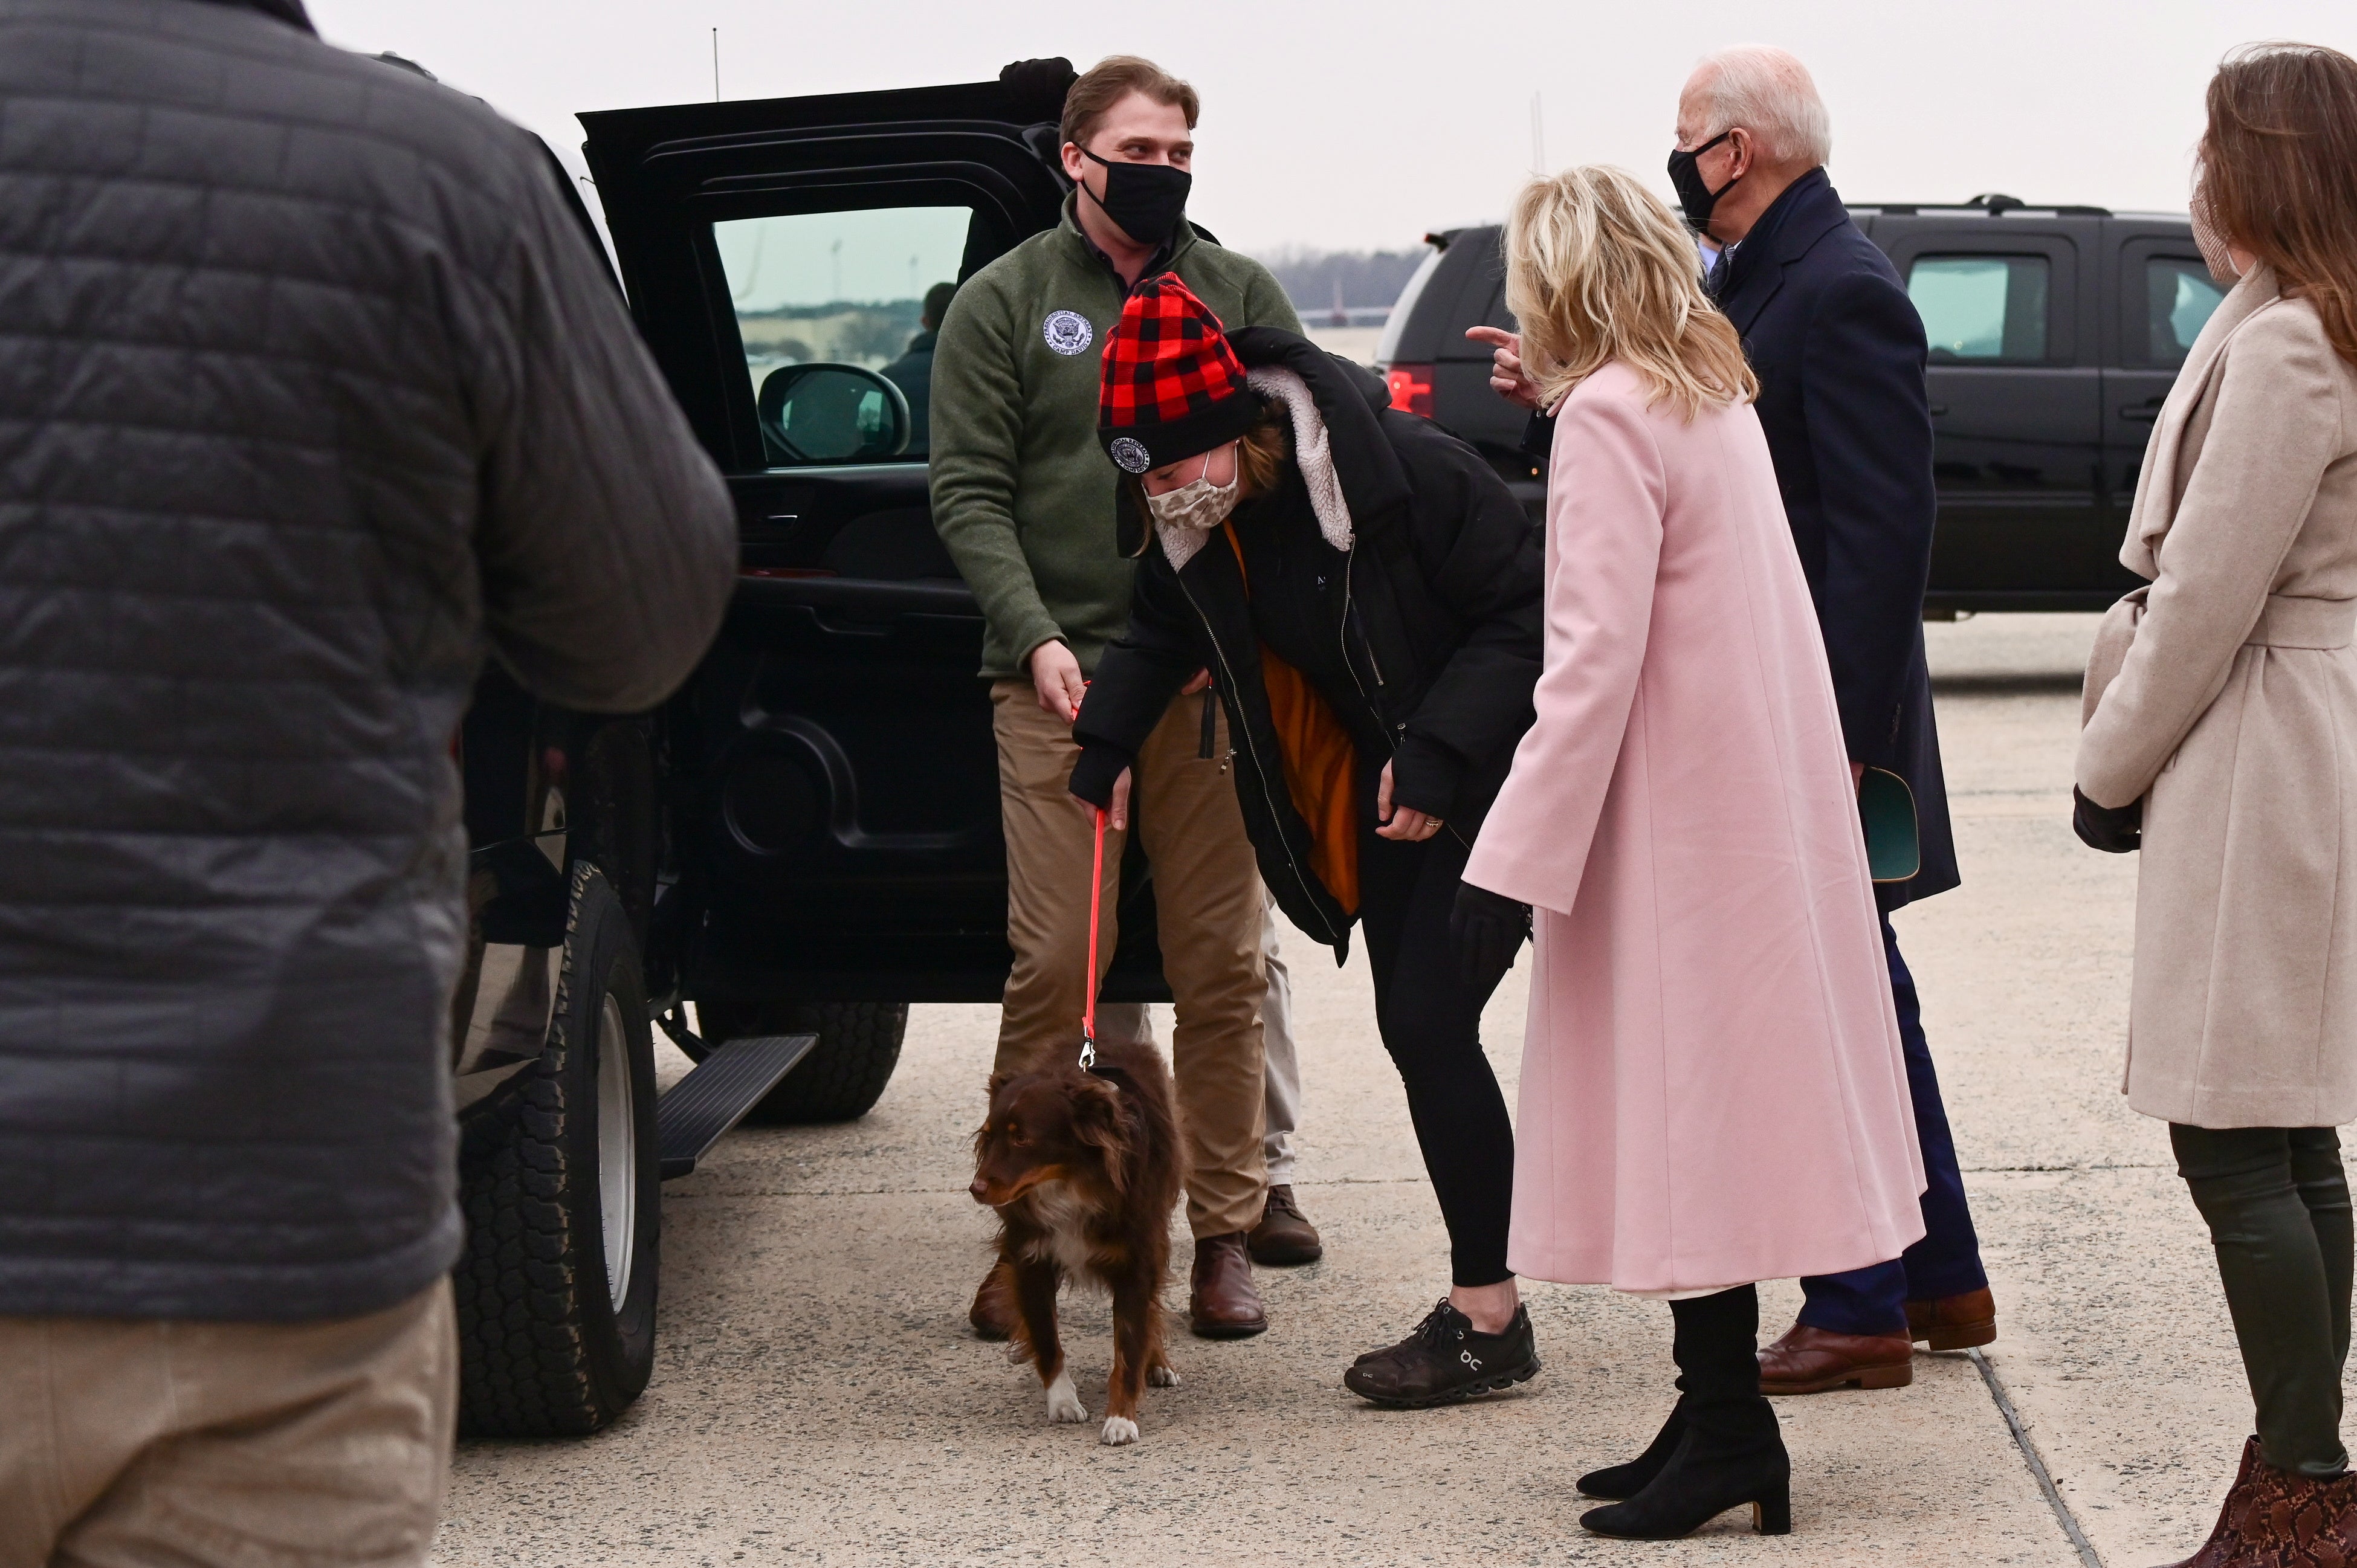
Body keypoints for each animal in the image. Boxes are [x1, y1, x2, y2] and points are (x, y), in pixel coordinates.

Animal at [962, 1037, 1178, 1443]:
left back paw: (1157, 1363)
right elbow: (1047, 1338)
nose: (976, 1189)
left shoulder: (1136, 1259)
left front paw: (1121, 1418)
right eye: (988, 1135)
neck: (1070, 1182)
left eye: (1022, 1138)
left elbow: (1129, 1342)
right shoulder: (1031, 1259)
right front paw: (1062, 1402)